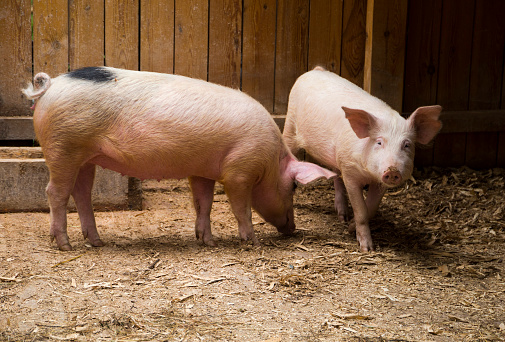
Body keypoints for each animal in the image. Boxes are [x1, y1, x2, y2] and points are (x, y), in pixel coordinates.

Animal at [23, 66, 334, 251]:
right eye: (293, 186)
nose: (292, 229)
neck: (271, 160)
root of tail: (50, 85)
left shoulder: (202, 172)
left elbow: (203, 204)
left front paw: (208, 241)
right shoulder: (239, 173)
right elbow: (240, 209)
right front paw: (252, 242)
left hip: (85, 157)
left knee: (82, 194)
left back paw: (97, 242)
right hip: (63, 148)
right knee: (55, 192)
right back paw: (64, 246)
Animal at [284, 67, 440, 252]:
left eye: (407, 145)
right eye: (379, 142)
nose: (392, 170)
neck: (368, 174)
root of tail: (316, 69)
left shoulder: (378, 182)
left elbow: (371, 208)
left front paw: (351, 226)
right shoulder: (350, 173)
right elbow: (361, 210)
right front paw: (366, 248)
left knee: (336, 175)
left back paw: (342, 217)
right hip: (290, 123)